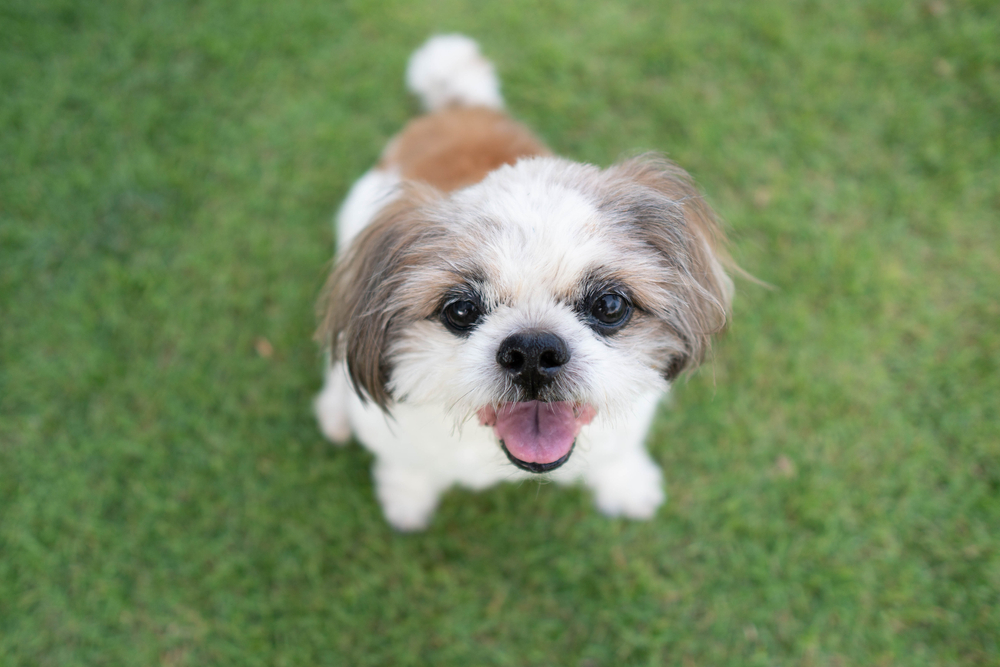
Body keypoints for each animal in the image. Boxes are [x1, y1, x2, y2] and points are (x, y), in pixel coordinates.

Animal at [314, 35, 736, 532]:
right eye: (460, 310)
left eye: (610, 306)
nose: (534, 350)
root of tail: (462, 109)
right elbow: (407, 464)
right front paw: (407, 497)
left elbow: (618, 451)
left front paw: (626, 483)